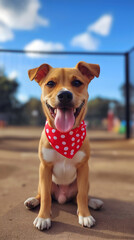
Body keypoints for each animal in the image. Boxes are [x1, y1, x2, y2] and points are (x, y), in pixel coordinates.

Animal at [24, 62, 103, 231]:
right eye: (50, 84)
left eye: (77, 82)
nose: (65, 95)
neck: (65, 137)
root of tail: (62, 197)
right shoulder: (45, 168)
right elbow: (46, 197)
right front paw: (43, 217)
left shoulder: (83, 168)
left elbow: (81, 196)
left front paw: (85, 215)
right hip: (42, 180)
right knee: (42, 194)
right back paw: (32, 201)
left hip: (85, 181)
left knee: (79, 197)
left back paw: (92, 202)